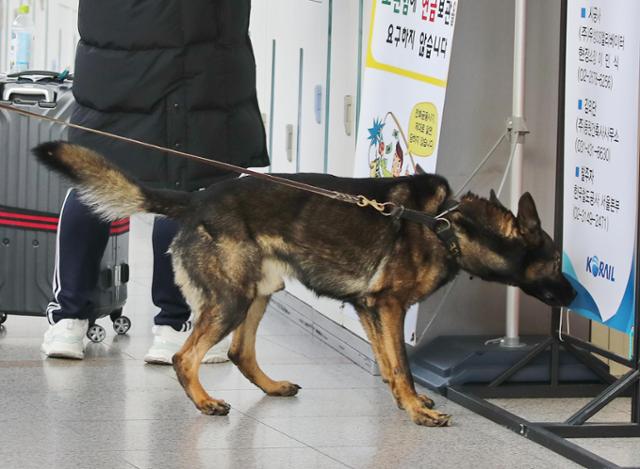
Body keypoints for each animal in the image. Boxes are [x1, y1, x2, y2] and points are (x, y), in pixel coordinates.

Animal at [33, 141, 576, 426]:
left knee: (240, 353)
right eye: (554, 261)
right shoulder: (389, 306)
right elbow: (401, 365)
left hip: (258, 293)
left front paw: (410, 401)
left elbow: (390, 364)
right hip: (232, 300)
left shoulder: (369, 308)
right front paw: (416, 411)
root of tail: (195, 200)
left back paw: (271, 386)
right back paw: (206, 402)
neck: (448, 224)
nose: (574, 297)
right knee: (186, 357)